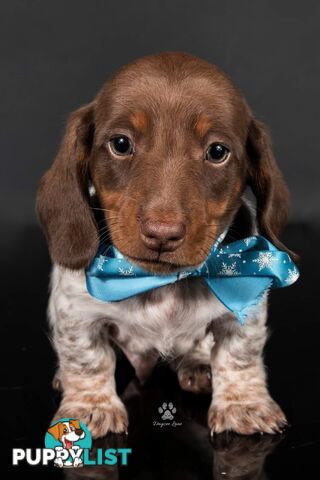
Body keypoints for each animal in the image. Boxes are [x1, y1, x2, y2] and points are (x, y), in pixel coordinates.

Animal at [36, 52, 292, 438]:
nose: (162, 233)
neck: (161, 282)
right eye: (121, 144)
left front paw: (244, 405)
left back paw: (198, 364)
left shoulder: (245, 312)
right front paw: (89, 408)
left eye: (217, 151)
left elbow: (238, 356)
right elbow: (88, 361)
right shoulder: (77, 313)